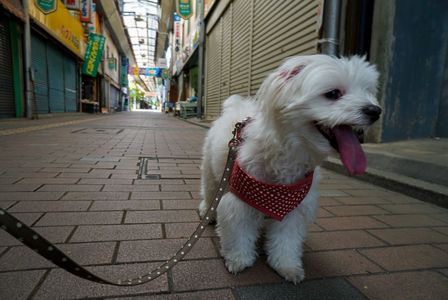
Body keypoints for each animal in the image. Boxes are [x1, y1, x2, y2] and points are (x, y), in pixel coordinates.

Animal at [200, 54, 382, 284]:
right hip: (213, 173)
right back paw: (207, 212)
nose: (375, 111)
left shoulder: (294, 209)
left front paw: (286, 266)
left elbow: (286, 241)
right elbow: (238, 234)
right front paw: (238, 259)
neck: (289, 153)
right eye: (333, 94)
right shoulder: (239, 204)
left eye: (367, 91)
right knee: (210, 192)